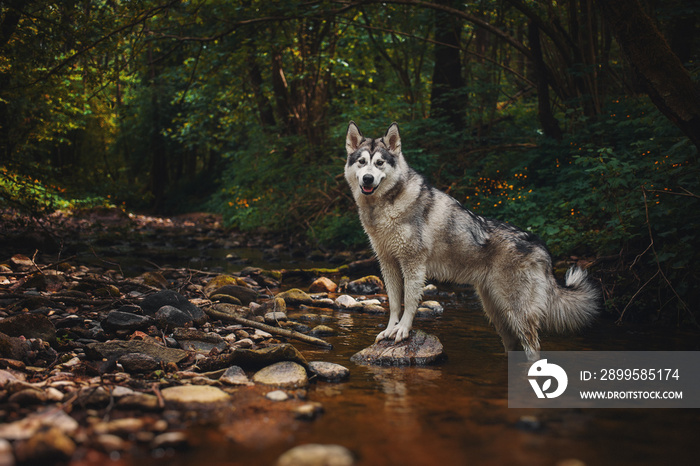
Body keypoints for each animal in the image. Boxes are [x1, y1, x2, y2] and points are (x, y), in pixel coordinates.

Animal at [342, 121, 600, 360]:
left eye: (379, 163)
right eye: (362, 162)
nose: (367, 179)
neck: (385, 206)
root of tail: (541, 246)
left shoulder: (413, 264)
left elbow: (410, 301)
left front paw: (403, 329)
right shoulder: (388, 264)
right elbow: (395, 303)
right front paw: (389, 329)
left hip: (517, 314)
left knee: (533, 350)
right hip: (497, 315)